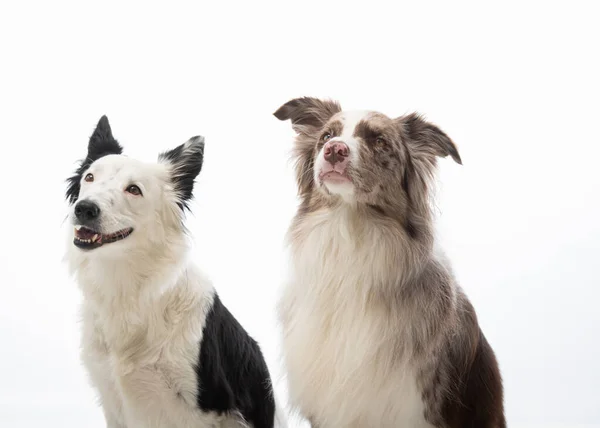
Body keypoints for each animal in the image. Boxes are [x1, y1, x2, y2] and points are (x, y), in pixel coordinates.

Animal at [64, 117, 284, 428]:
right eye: (90, 178)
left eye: (134, 189)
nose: (84, 208)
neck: (128, 288)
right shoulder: (113, 399)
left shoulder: (207, 405)